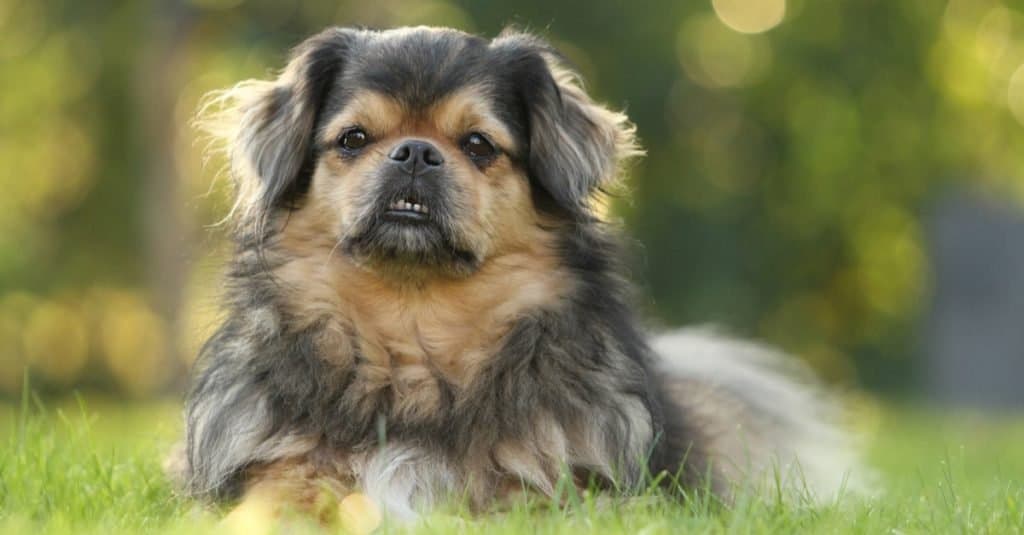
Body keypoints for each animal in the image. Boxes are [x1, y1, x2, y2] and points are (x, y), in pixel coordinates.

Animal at [178, 26, 864, 520]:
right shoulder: (278, 468)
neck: (415, 326)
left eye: (479, 145)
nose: (415, 153)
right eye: (353, 139)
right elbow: (283, 493)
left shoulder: (565, 490)